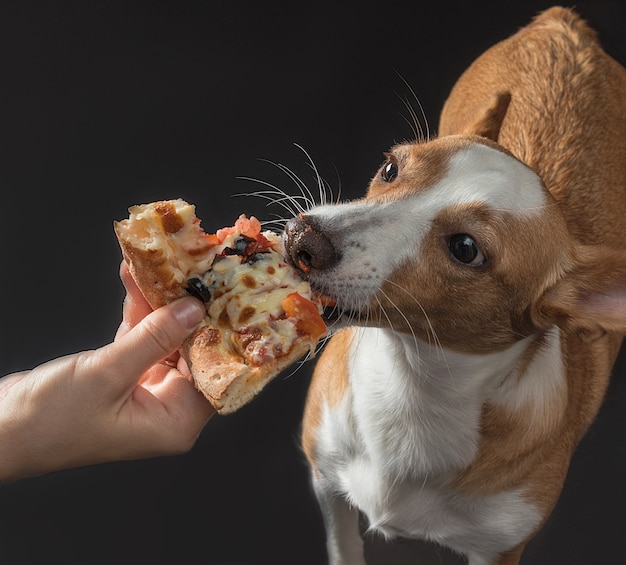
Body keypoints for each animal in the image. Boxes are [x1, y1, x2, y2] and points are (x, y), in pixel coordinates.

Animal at [282, 5, 624, 564]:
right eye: (390, 168)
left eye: (465, 248)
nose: (302, 239)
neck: (413, 384)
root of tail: (566, 28)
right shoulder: (328, 488)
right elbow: (344, 546)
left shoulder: (499, 549)